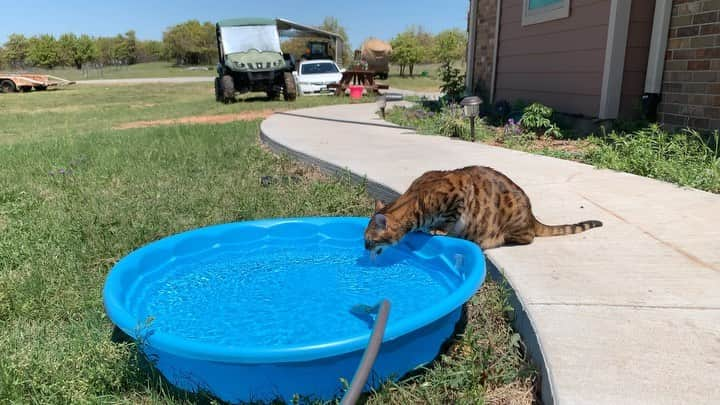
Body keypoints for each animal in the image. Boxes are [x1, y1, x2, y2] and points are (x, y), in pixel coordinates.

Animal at [362, 165, 604, 252]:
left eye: (369, 241)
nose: (364, 249)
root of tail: (532, 215)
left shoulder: (460, 192)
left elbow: (448, 220)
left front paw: (438, 229)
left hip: (512, 222)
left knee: (528, 237)